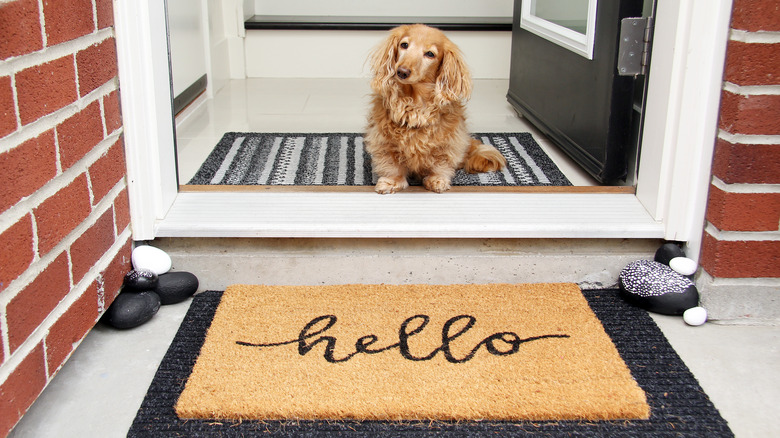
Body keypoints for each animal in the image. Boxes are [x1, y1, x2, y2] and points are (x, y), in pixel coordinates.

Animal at [366, 24, 506, 193]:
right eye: (404, 45)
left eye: (430, 54)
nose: (402, 71)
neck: (414, 102)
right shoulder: (384, 140)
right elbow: (392, 165)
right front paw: (391, 181)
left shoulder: (448, 141)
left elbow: (441, 162)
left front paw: (437, 180)